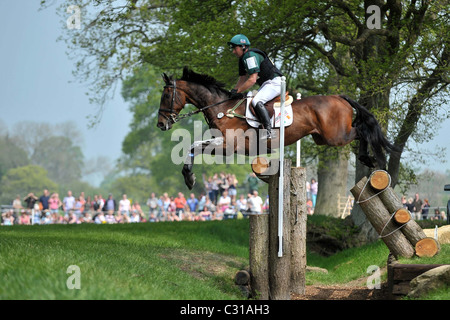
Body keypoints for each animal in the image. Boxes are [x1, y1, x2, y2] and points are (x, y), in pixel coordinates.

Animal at [156, 66, 396, 189]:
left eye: (166, 95)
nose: (161, 124)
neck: (222, 108)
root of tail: (339, 97)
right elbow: (194, 146)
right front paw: (189, 177)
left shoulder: (229, 145)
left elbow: (194, 145)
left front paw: (189, 177)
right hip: (323, 137)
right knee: (361, 130)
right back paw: (369, 159)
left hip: (335, 135)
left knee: (363, 131)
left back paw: (374, 160)